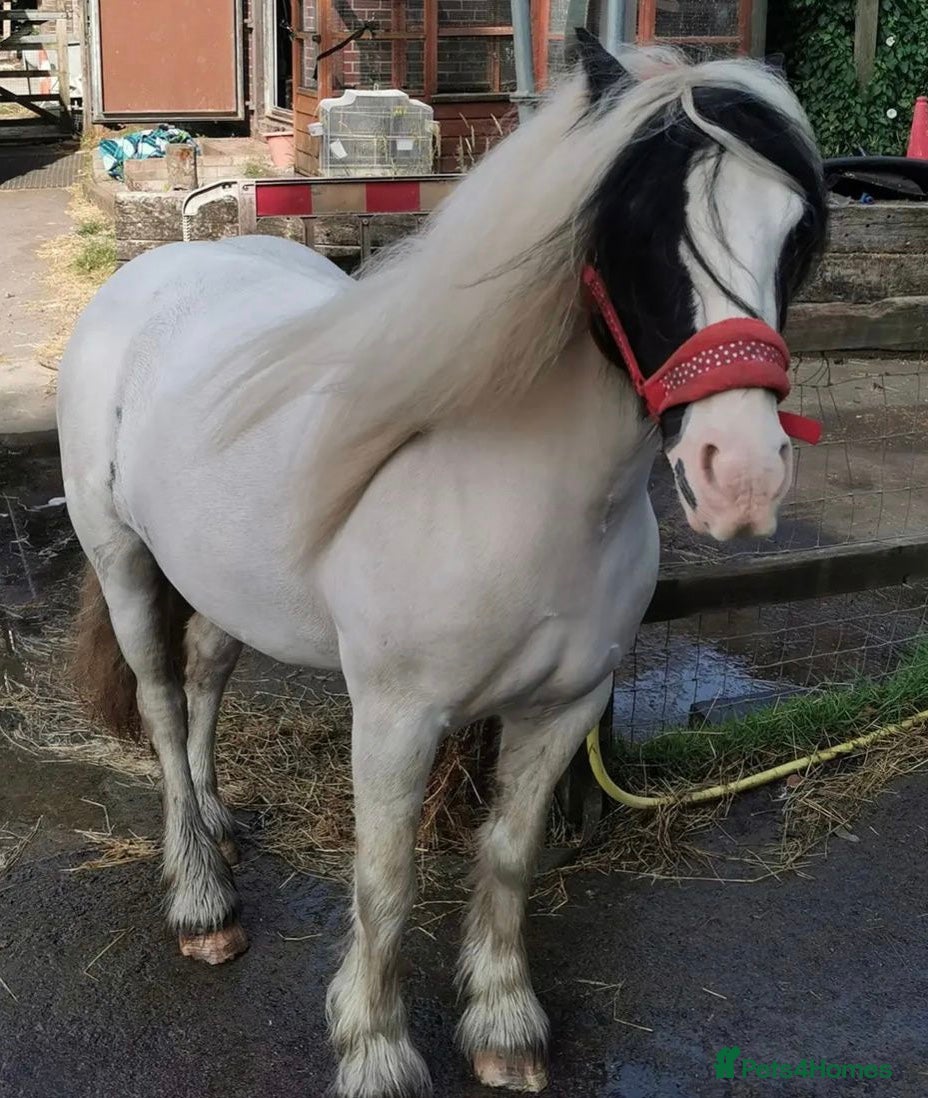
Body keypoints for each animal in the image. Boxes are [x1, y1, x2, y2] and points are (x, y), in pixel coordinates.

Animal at [57, 32, 826, 1098]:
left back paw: (217, 825)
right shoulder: (395, 718)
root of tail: (152, 275)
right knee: (164, 710)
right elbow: (386, 883)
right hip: (124, 560)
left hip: (224, 583)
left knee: (206, 676)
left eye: (795, 236)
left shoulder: (566, 708)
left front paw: (504, 1025)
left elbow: (507, 854)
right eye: (631, 226)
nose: (740, 477)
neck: (519, 497)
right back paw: (203, 901)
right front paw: (376, 1051)